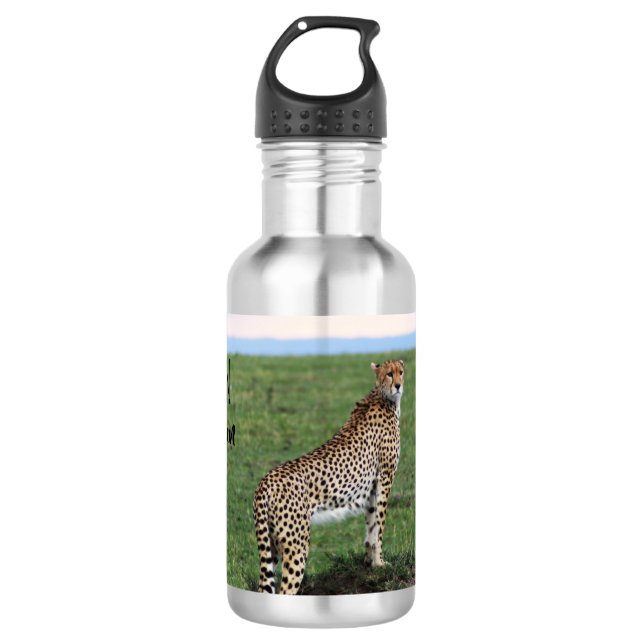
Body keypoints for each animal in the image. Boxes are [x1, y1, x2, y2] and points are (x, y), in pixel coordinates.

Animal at [252, 359, 405, 595]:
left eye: (401, 372)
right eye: (389, 373)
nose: (398, 385)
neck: (383, 397)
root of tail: (266, 480)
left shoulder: (372, 488)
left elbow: (370, 526)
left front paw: (369, 563)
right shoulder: (385, 479)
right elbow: (379, 526)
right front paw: (380, 563)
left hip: (271, 544)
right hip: (296, 545)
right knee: (286, 589)